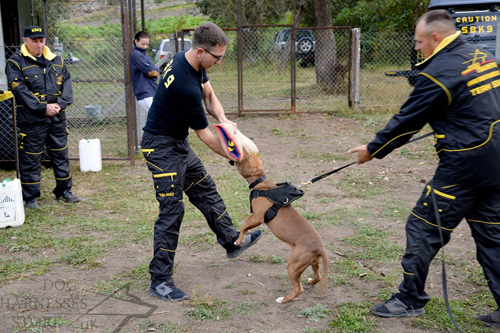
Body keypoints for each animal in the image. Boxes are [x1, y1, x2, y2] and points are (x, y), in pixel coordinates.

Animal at [234, 148, 328, 304]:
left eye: (248, 157)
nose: (244, 149)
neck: (261, 184)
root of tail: (319, 247)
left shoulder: (258, 217)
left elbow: (243, 226)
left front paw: (238, 240)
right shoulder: (254, 217)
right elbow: (246, 225)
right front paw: (244, 236)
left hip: (293, 266)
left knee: (298, 289)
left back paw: (283, 299)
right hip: (312, 262)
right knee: (318, 277)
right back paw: (311, 282)